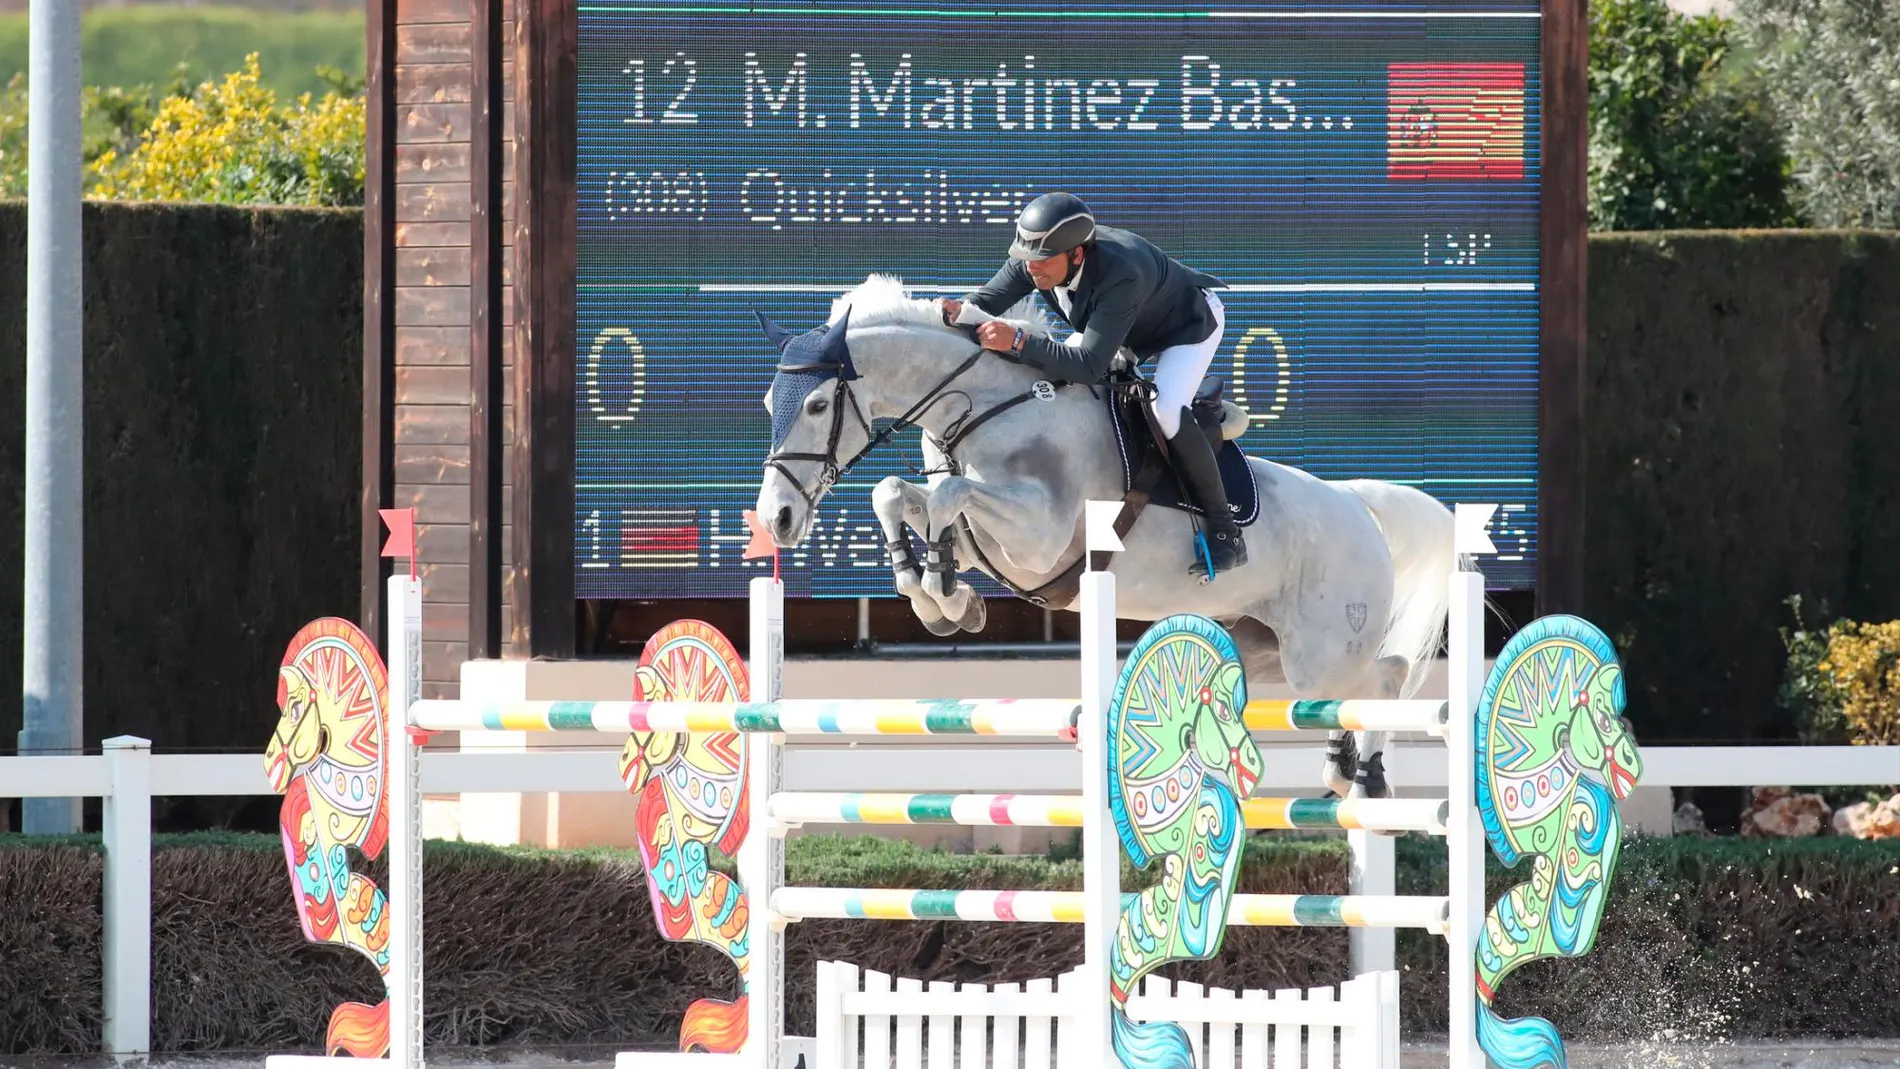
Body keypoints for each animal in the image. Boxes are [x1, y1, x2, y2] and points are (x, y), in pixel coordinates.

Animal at [752, 275, 1451, 793]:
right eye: (767, 405)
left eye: (816, 405)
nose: (778, 519)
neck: (985, 406)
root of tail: (1356, 505)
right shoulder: (990, 537)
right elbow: (898, 494)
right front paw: (944, 599)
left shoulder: (1038, 538)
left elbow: (948, 496)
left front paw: (943, 594)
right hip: (1263, 648)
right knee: (1343, 692)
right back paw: (1339, 762)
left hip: (1322, 649)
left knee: (1386, 677)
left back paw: (1365, 773)